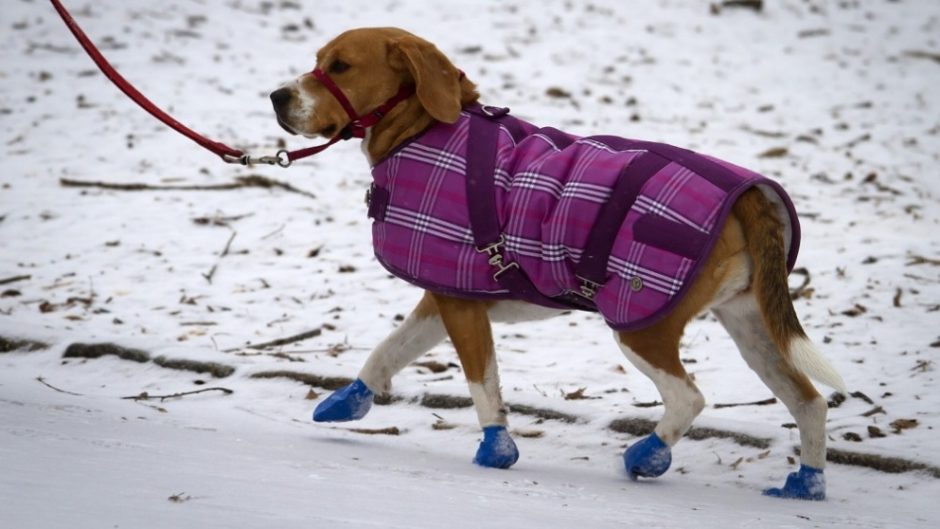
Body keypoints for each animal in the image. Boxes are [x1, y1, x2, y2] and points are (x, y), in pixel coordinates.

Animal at [270, 27, 844, 500]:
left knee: (689, 399)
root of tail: (749, 191)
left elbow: (484, 388)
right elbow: (385, 353)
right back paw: (806, 484)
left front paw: (496, 451)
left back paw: (647, 455)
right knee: (809, 403)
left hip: (642, 329)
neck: (424, 131)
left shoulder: (462, 310)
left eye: (341, 66)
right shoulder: (444, 300)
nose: (277, 96)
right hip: (752, 328)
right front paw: (350, 401)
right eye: (318, 61)